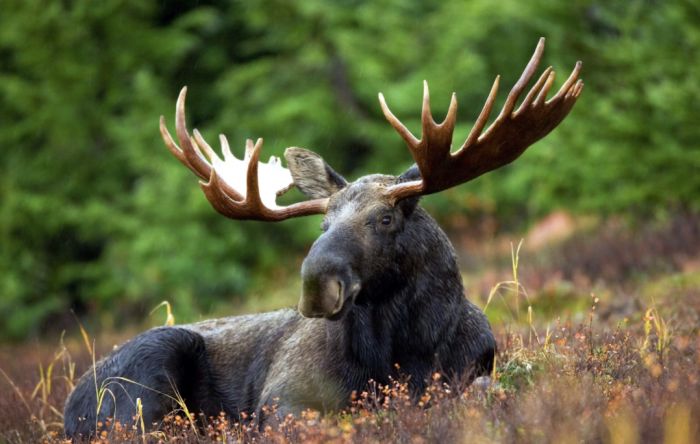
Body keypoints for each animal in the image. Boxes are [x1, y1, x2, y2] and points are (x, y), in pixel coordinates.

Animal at [63, 38, 582, 438]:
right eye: (323, 224)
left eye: (385, 219)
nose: (316, 284)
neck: (405, 351)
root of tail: (69, 407)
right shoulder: (283, 398)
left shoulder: (473, 371)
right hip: (147, 374)